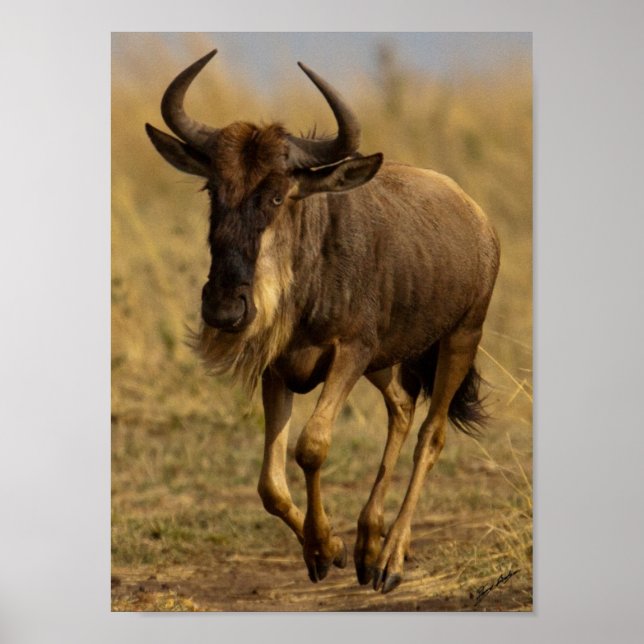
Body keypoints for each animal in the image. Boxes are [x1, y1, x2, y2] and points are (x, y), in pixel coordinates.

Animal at [145, 50, 500, 594]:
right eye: (212, 189)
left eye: (277, 196)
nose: (225, 309)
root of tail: (477, 218)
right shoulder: (279, 368)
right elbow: (270, 483)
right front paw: (327, 550)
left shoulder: (350, 353)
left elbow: (311, 447)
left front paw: (325, 547)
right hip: (386, 361)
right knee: (401, 408)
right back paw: (369, 544)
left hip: (460, 338)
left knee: (431, 434)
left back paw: (390, 561)